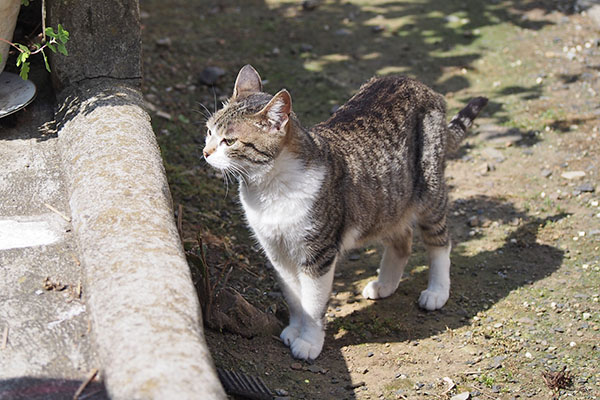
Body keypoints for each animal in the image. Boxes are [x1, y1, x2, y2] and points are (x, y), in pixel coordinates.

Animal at [204, 65, 486, 360]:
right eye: (209, 131)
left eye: (229, 141)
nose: (205, 152)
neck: (269, 188)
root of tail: (419, 85)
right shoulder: (276, 252)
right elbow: (294, 298)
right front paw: (294, 330)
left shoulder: (318, 254)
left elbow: (312, 304)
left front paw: (309, 342)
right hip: (385, 202)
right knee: (402, 240)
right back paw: (385, 285)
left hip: (428, 189)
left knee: (440, 241)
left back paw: (437, 291)